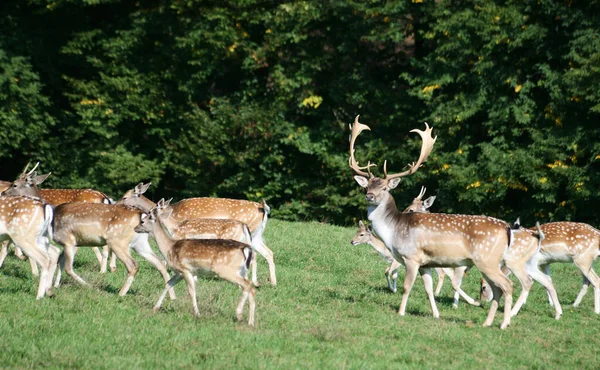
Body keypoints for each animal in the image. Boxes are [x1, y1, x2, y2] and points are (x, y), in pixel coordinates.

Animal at [120, 182, 276, 286]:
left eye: (125, 197)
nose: (118, 205)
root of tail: (264, 209)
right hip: (255, 235)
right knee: (267, 253)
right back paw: (270, 282)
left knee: (255, 255)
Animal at [350, 116, 512, 330]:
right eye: (366, 186)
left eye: (384, 188)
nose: (369, 196)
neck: (394, 231)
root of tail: (508, 229)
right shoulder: (425, 263)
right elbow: (427, 289)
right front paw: (436, 314)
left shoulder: (412, 257)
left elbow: (406, 286)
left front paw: (401, 312)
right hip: (490, 263)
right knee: (498, 289)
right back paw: (487, 322)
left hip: (487, 260)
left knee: (508, 285)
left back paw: (504, 324)